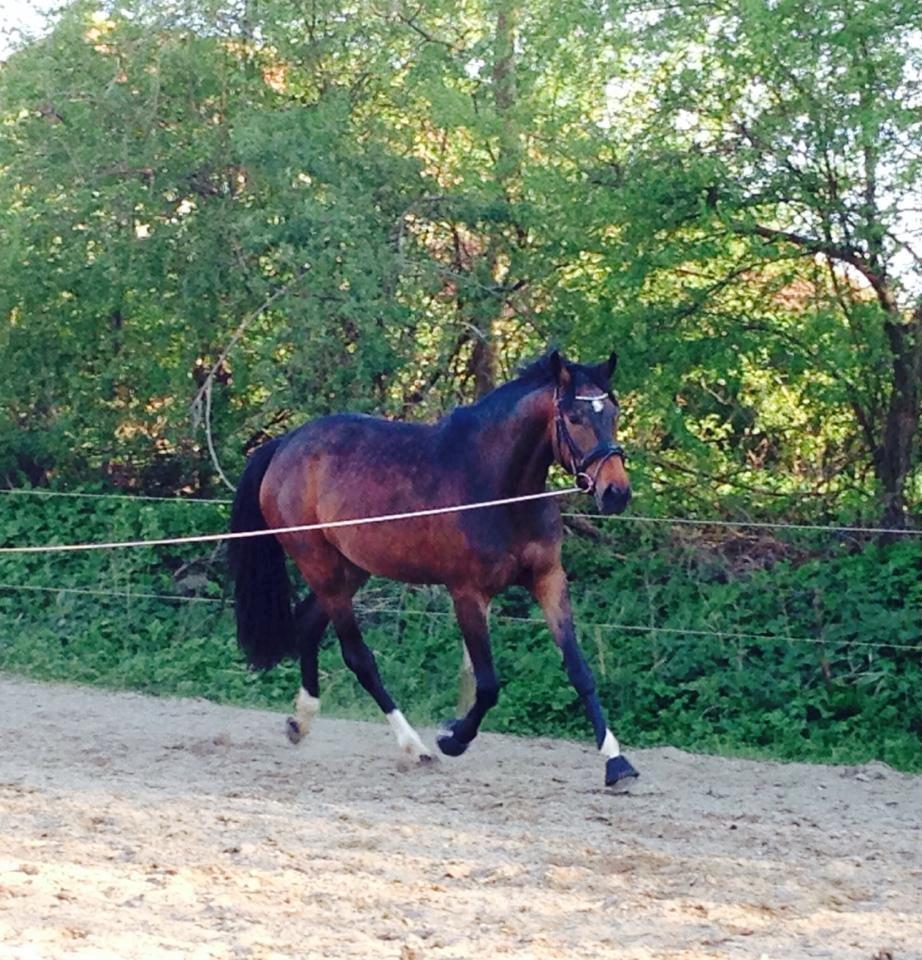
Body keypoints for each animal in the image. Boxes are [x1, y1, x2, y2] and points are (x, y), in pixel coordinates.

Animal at [226, 348, 636, 784]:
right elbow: (488, 685)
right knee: (359, 658)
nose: (616, 493)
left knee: (308, 625)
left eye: (613, 412)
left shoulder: (548, 580)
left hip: (349, 569)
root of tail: (286, 443)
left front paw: (617, 762)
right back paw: (415, 747)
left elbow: (579, 671)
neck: (498, 489)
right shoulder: (468, 593)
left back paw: (301, 722)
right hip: (321, 567)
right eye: (574, 417)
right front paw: (452, 737)